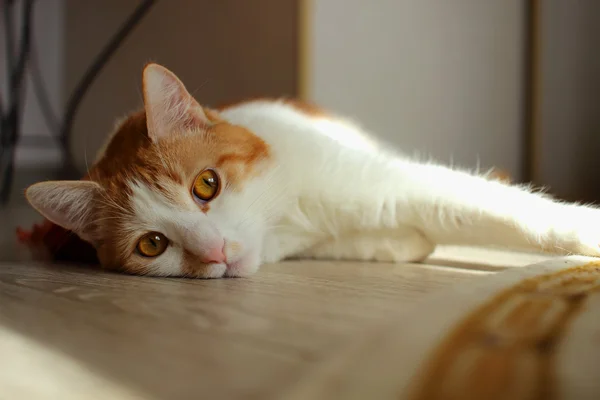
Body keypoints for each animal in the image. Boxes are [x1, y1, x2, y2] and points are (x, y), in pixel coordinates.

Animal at [24, 64, 600, 278]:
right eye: (152, 245)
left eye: (206, 185)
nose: (214, 252)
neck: (287, 212)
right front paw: (399, 243)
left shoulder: (388, 182)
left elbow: (502, 211)